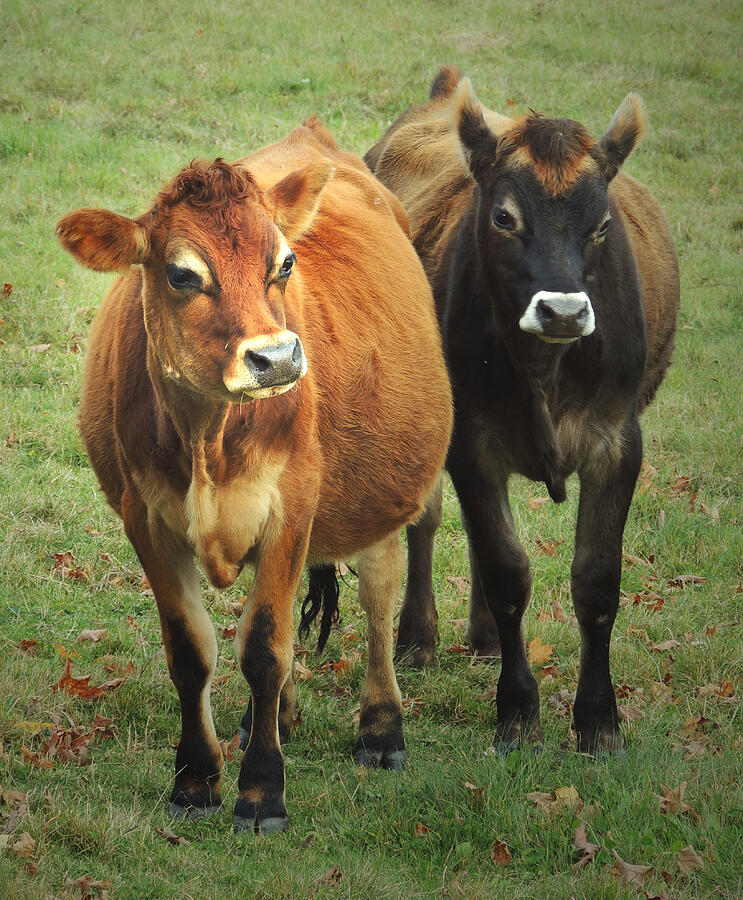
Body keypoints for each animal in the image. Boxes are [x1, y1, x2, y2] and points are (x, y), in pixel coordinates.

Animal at [56, 117, 453, 832]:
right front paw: (195, 779)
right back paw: (277, 720)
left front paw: (263, 790)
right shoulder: (144, 519)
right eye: (181, 274)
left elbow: (266, 650)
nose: (276, 357)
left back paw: (382, 727)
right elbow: (193, 651)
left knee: (378, 596)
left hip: (382, 494)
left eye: (284, 263)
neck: (206, 440)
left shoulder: (291, 510)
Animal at [366, 67, 679, 756]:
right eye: (504, 217)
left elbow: (596, 581)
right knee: (428, 521)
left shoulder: (618, 443)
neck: (545, 369)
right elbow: (507, 571)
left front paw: (598, 719)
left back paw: (482, 638)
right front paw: (517, 711)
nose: (562, 311)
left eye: (602, 225)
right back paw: (419, 637)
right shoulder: (471, 444)